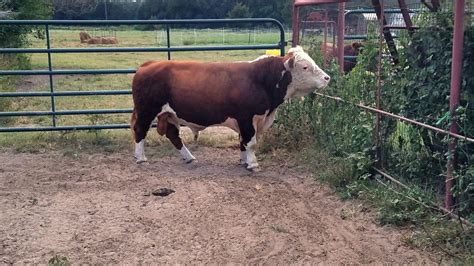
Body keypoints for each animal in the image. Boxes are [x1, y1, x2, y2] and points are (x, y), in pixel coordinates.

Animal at [130, 45, 330, 170]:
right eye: (305, 67)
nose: (327, 78)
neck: (261, 80)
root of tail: (149, 64)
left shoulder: (248, 121)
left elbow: (243, 142)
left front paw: (244, 161)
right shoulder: (247, 118)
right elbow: (250, 142)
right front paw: (253, 164)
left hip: (169, 114)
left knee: (173, 135)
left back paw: (189, 157)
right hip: (147, 111)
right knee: (140, 131)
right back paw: (141, 158)